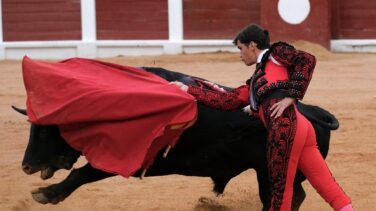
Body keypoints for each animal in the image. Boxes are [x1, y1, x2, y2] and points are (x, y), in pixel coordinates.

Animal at [13, 67, 340, 210]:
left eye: (46, 129)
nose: (26, 166)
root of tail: (313, 112)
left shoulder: (122, 157)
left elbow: (82, 173)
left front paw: (47, 195)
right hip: (272, 171)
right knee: (293, 196)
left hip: (274, 170)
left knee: (286, 196)